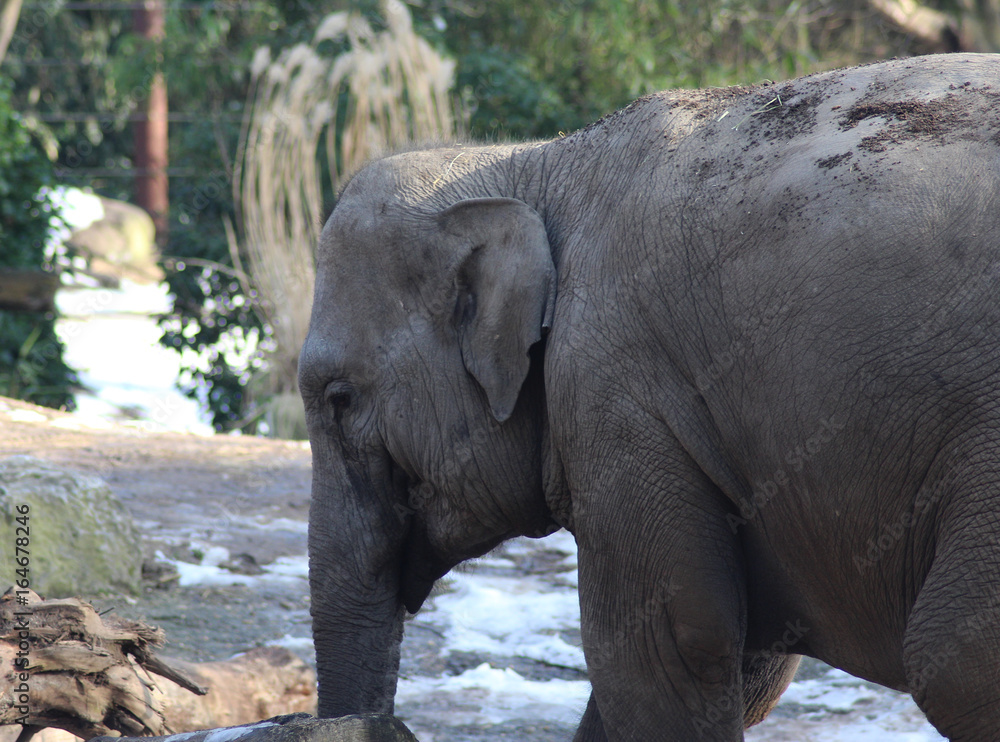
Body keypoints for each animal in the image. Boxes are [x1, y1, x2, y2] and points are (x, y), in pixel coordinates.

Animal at [298, 53, 1000, 741]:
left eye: (339, 398)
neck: (534, 162)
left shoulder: (619, 388)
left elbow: (660, 648)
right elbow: (741, 666)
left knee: (953, 660)